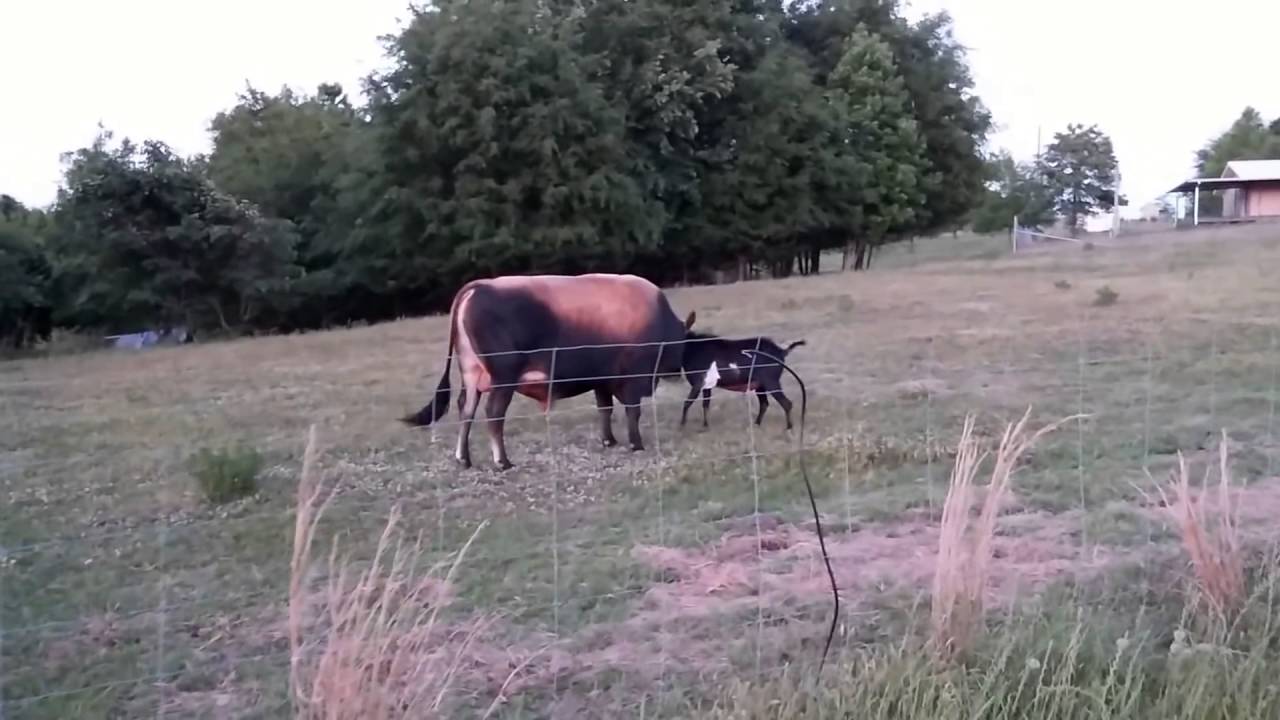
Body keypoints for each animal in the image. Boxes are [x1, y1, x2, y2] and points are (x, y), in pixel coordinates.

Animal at [401, 273, 690, 470]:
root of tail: (480, 286)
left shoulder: (601, 379)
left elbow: (604, 409)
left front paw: (609, 440)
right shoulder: (633, 377)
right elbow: (632, 411)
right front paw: (636, 444)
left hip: (472, 376)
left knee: (466, 410)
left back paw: (464, 458)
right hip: (503, 377)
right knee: (493, 413)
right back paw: (502, 461)